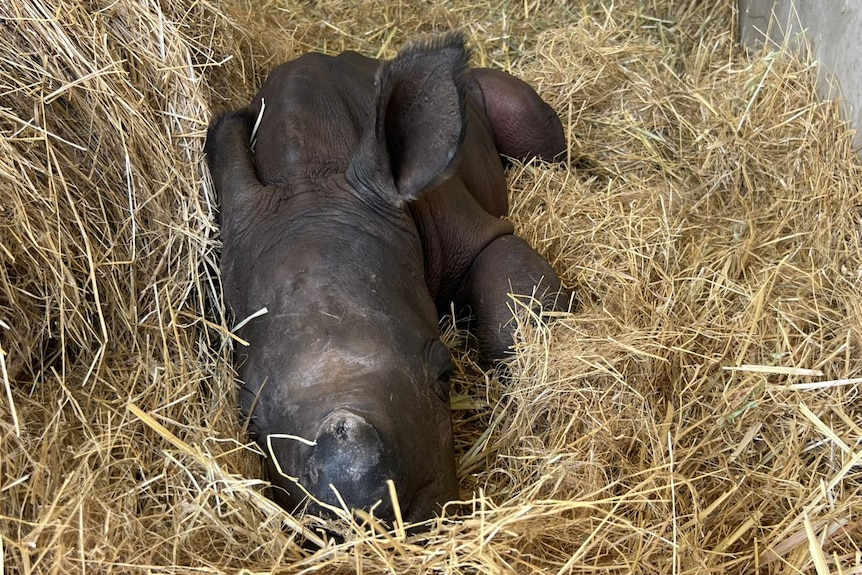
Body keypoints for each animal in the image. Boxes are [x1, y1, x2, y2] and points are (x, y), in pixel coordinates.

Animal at [205, 33, 570, 525]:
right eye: (249, 420)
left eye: (445, 373)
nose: (362, 509)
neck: (310, 176)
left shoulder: (472, 234)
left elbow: (520, 315)